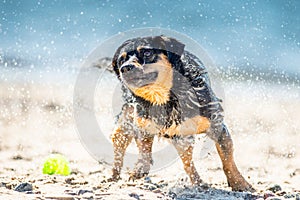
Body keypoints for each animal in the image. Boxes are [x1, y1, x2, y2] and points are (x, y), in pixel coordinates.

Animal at [108, 36, 253, 192]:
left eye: (147, 53)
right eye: (121, 60)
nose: (125, 67)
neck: (164, 97)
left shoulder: (216, 125)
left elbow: (227, 159)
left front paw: (239, 182)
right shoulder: (143, 124)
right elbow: (144, 148)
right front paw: (140, 169)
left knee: (187, 162)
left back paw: (198, 182)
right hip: (127, 119)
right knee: (119, 141)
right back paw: (113, 177)